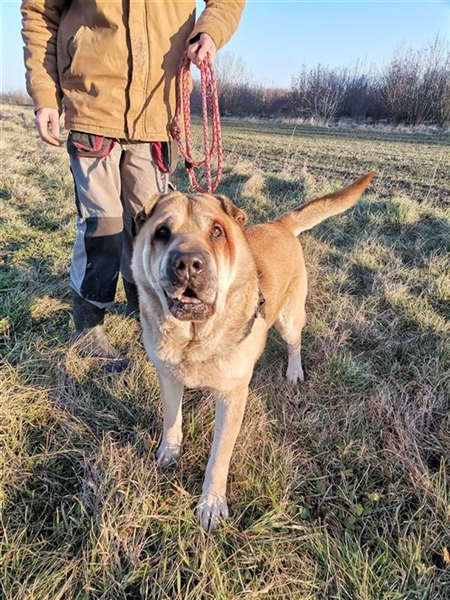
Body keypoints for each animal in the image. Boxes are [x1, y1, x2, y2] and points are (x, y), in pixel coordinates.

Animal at [131, 172, 375, 530]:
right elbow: (171, 421)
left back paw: (294, 371)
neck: (196, 337)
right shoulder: (168, 377)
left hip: (289, 318)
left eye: (216, 232)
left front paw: (211, 503)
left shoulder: (233, 397)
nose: (187, 264)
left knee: (294, 342)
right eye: (162, 232)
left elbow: (219, 456)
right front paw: (169, 453)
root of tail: (279, 223)